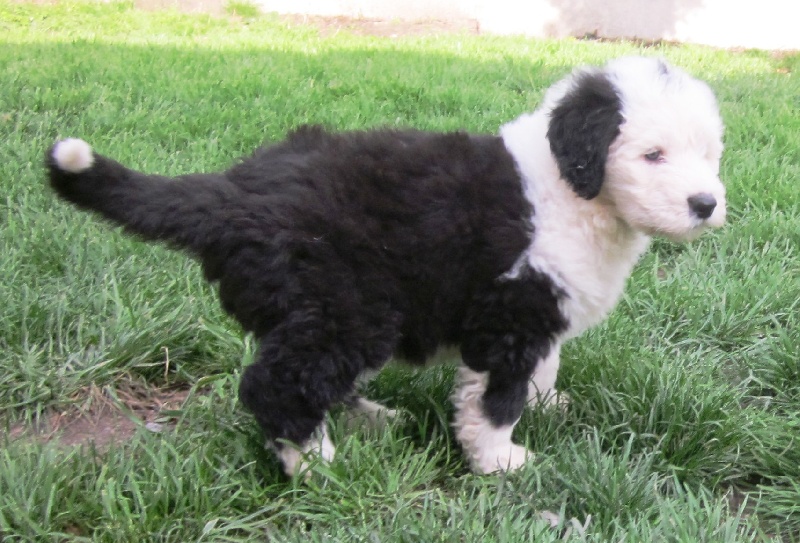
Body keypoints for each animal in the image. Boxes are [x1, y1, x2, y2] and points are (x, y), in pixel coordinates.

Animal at [46, 56, 726, 476]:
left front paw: (547, 404)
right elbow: (495, 399)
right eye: (653, 154)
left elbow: (543, 368)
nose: (706, 204)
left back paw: (370, 422)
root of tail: (233, 193)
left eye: (710, 153)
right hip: (345, 307)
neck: (570, 189)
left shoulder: (546, 310)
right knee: (278, 384)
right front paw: (499, 461)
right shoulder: (511, 312)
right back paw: (315, 466)